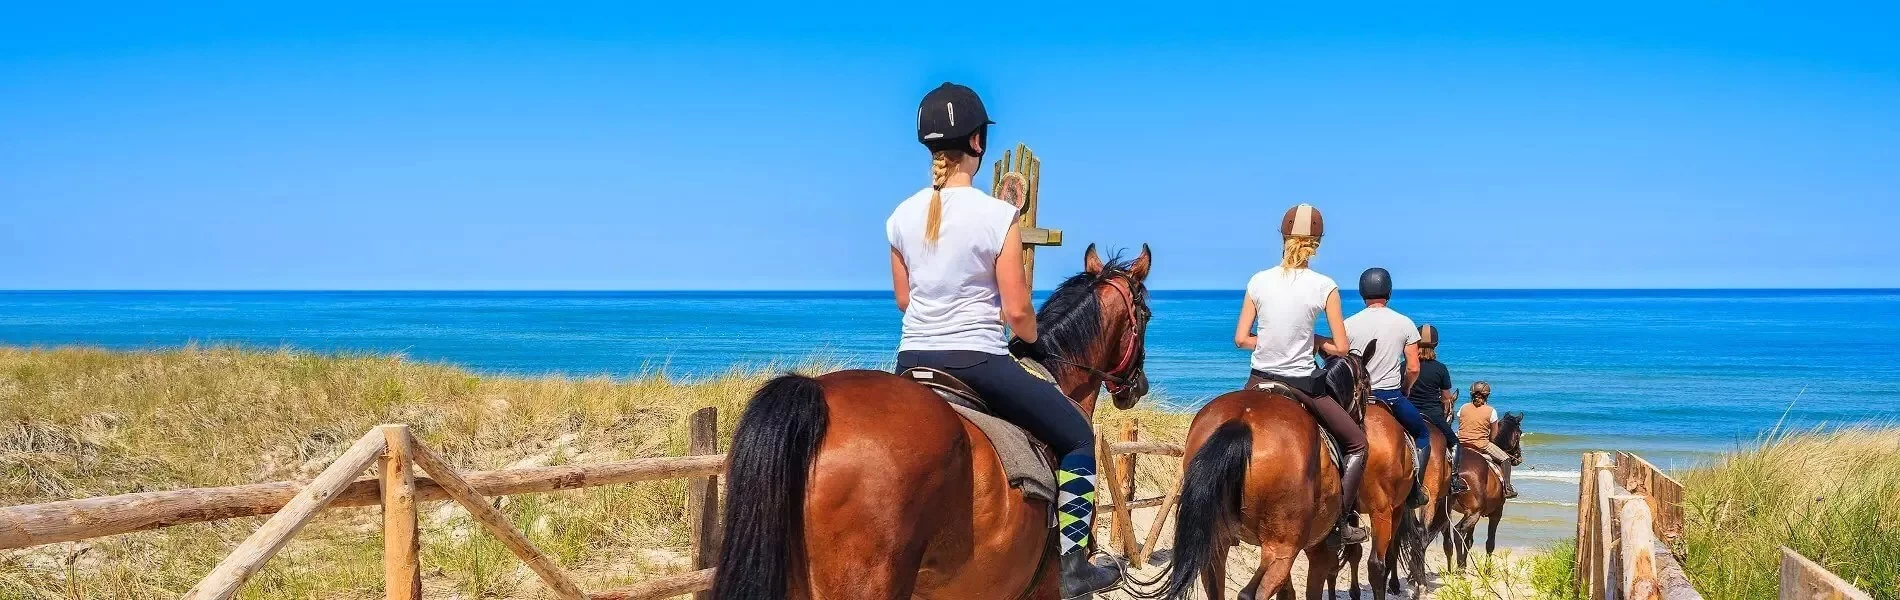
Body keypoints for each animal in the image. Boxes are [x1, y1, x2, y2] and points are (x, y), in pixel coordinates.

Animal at [1132, 341, 1375, 600]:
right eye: (1367, 383)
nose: (1362, 425)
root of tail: (1241, 421)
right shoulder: (1319, 549)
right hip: (1282, 548)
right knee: (1252, 592)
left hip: (1219, 540)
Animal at [1451, 410, 1527, 569]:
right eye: (1520, 433)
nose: (1518, 457)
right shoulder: (1496, 513)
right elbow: (1490, 543)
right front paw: (1487, 571)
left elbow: (1469, 541)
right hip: (1474, 513)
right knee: (1458, 531)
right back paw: (1459, 567)